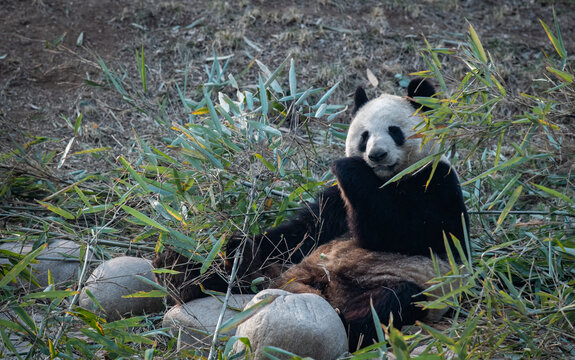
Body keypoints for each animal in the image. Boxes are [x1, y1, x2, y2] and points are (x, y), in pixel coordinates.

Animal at [154, 79, 472, 344]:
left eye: (395, 131)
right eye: (364, 135)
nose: (376, 155)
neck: (387, 180)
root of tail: (314, 290)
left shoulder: (437, 182)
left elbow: (415, 233)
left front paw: (350, 168)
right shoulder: (335, 201)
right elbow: (301, 232)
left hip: (411, 287)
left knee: (392, 301)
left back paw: (348, 325)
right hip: (280, 268)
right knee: (242, 265)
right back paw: (180, 272)